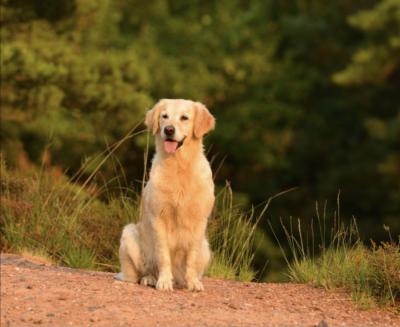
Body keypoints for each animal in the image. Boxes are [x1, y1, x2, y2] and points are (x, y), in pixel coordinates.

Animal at [115, 98, 216, 292]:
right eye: (164, 116)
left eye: (184, 117)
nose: (168, 129)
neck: (179, 166)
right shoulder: (158, 217)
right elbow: (163, 254)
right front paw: (163, 282)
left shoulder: (199, 220)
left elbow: (191, 257)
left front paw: (193, 283)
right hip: (129, 233)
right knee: (138, 274)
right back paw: (150, 279)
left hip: (206, 248)